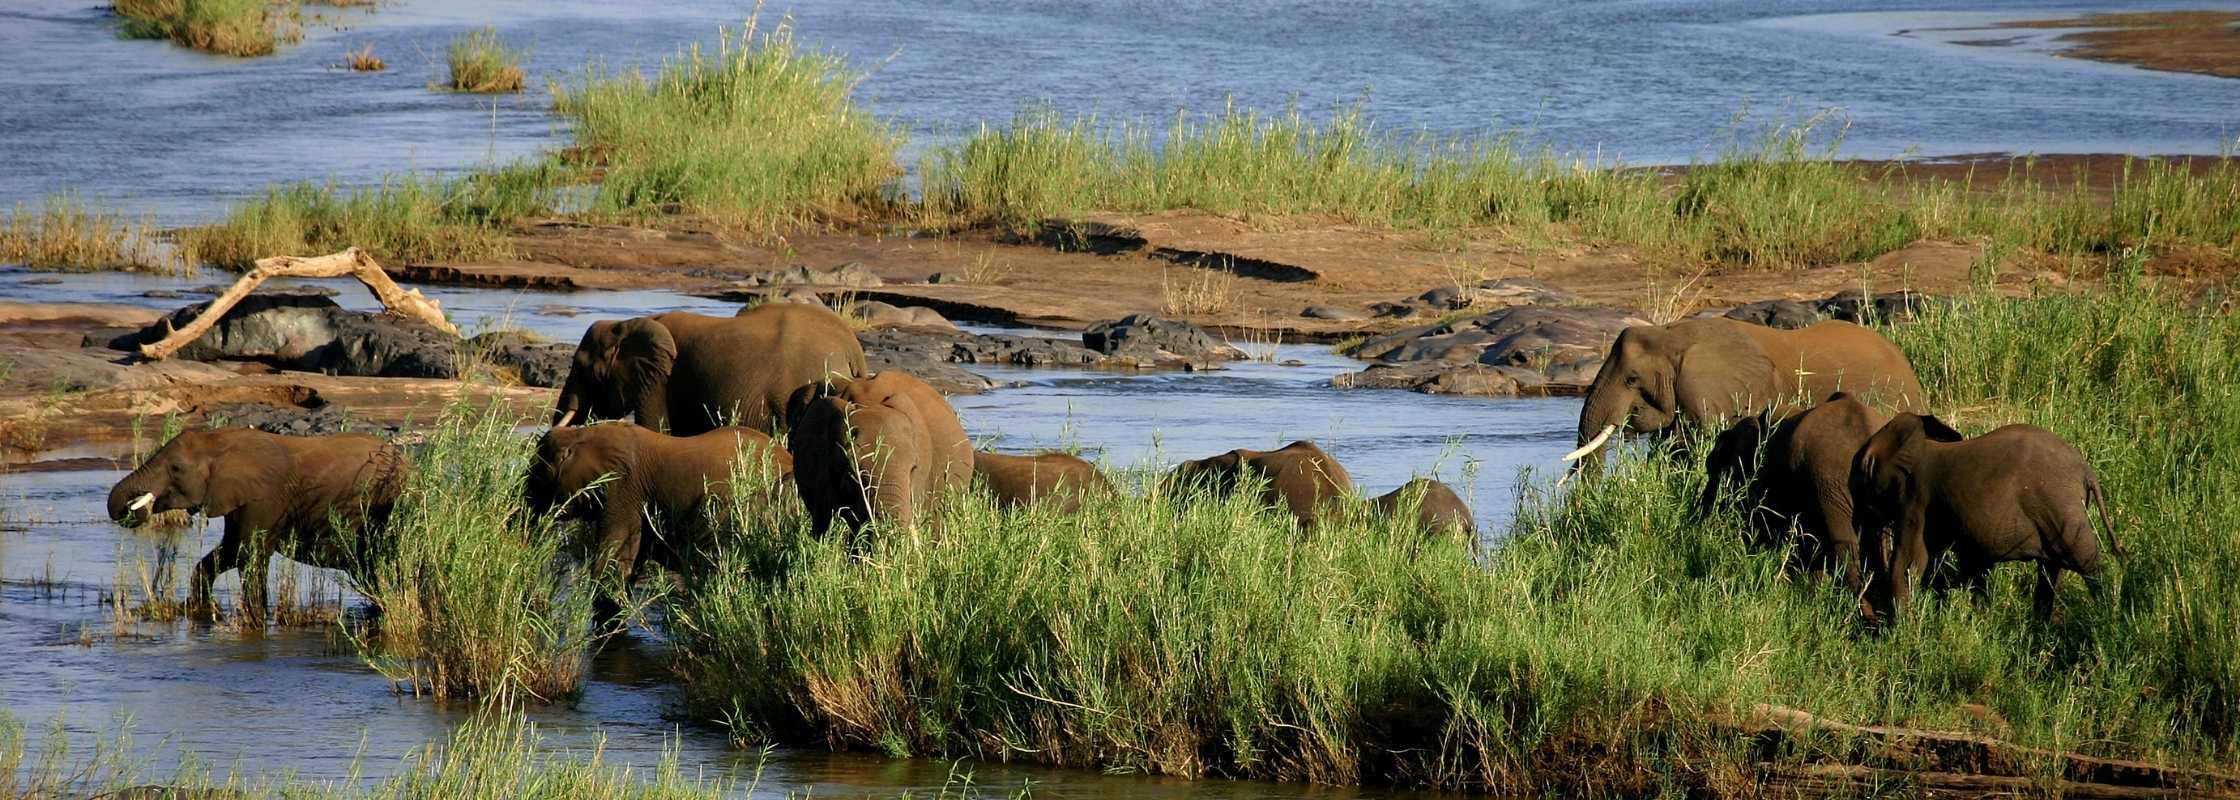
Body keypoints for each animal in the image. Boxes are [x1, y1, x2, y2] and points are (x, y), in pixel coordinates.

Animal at [105, 428, 411, 623]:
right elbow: (228, 553)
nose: (134, 508)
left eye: (176, 468)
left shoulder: (265, 498)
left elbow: (248, 554)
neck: (221, 440)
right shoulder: (236, 498)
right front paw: (202, 612)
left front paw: (256, 618)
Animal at [1849, 413, 2118, 618]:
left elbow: (1909, 561)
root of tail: (2086, 470)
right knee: (2051, 570)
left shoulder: (1914, 497)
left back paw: (2107, 615)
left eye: (1860, 478)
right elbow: (1970, 564)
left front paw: (1902, 629)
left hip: (2059, 504)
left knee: (2085, 561)